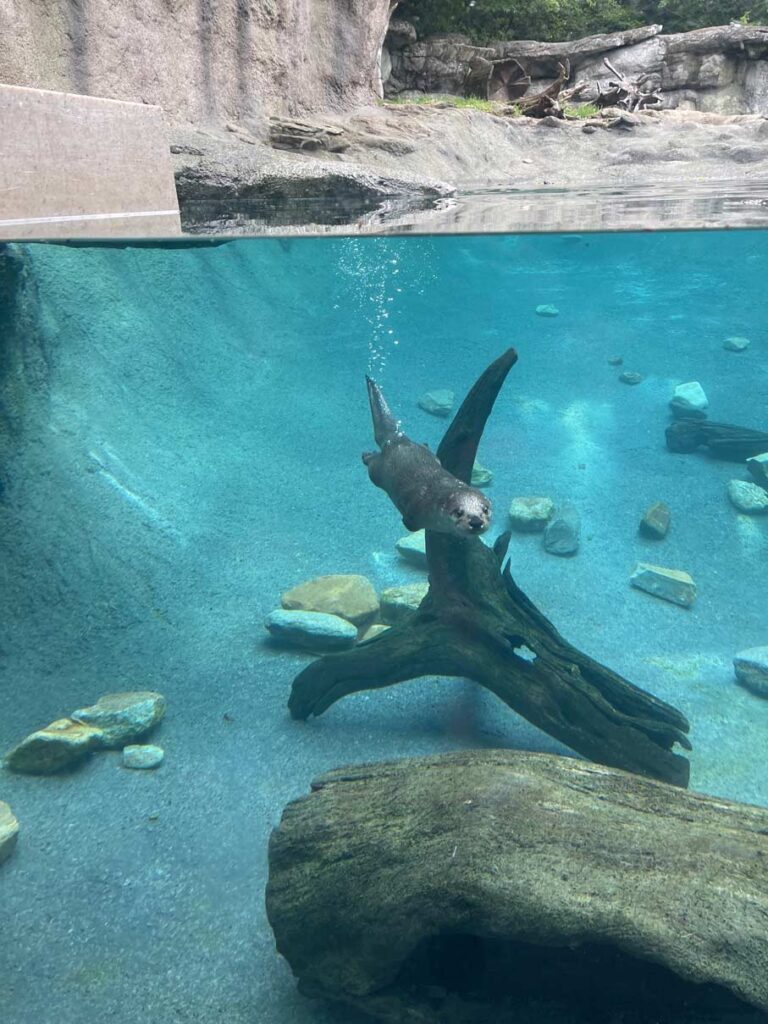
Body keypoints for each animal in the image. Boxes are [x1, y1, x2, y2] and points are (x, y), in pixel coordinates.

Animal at [362, 376, 492, 536]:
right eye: (458, 512)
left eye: (485, 510)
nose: (476, 521)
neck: (433, 503)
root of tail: (397, 440)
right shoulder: (415, 511)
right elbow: (409, 522)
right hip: (378, 471)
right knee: (372, 464)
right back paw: (366, 456)